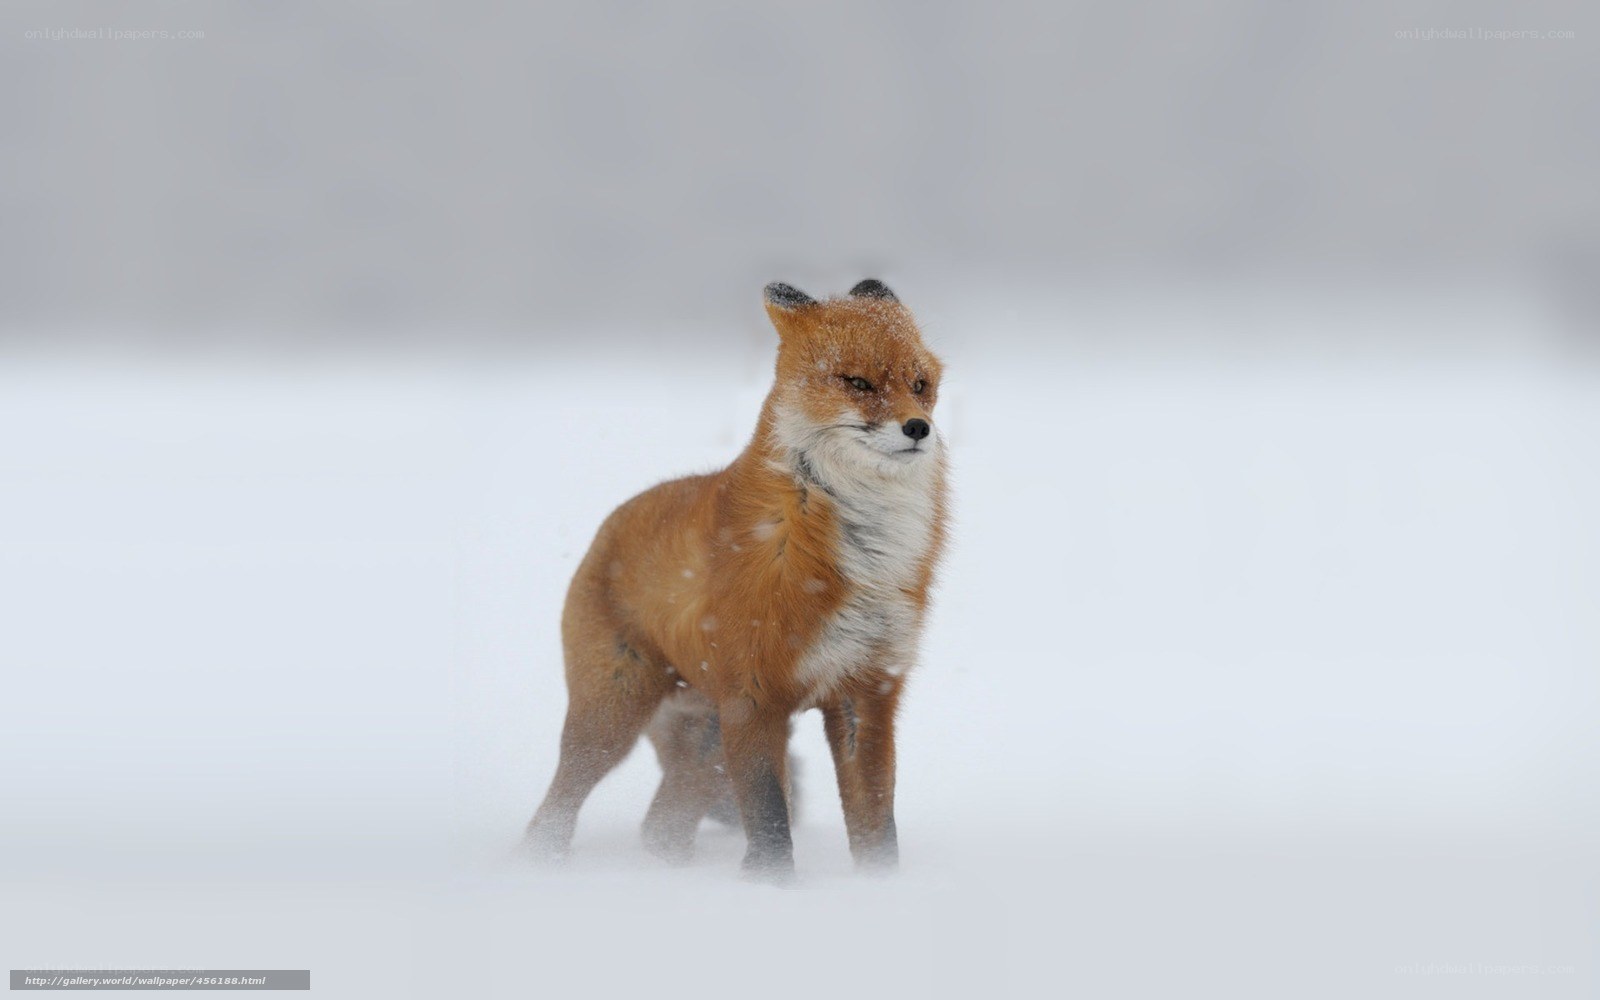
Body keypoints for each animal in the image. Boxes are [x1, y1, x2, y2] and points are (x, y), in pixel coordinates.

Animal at [523, 279, 948, 880]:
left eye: (920, 385)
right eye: (858, 383)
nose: (918, 428)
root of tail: (610, 523)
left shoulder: (866, 692)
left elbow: (876, 824)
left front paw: (879, 887)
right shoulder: (753, 696)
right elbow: (770, 820)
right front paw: (771, 890)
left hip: (706, 739)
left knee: (661, 827)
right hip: (613, 718)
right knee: (554, 811)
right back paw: (541, 866)